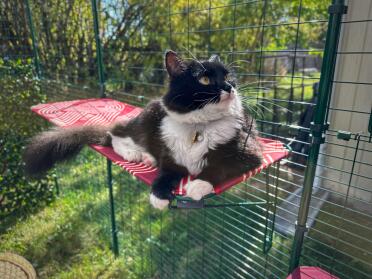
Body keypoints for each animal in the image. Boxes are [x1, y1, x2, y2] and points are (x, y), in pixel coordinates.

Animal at [24, 51, 262, 211]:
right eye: (204, 79)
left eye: (228, 77)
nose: (229, 87)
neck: (200, 126)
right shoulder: (171, 156)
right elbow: (165, 173)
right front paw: (158, 195)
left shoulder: (250, 151)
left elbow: (220, 166)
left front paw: (198, 184)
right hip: (148, 117)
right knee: (115, 133)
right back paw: (135, 154)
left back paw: (147, 158)